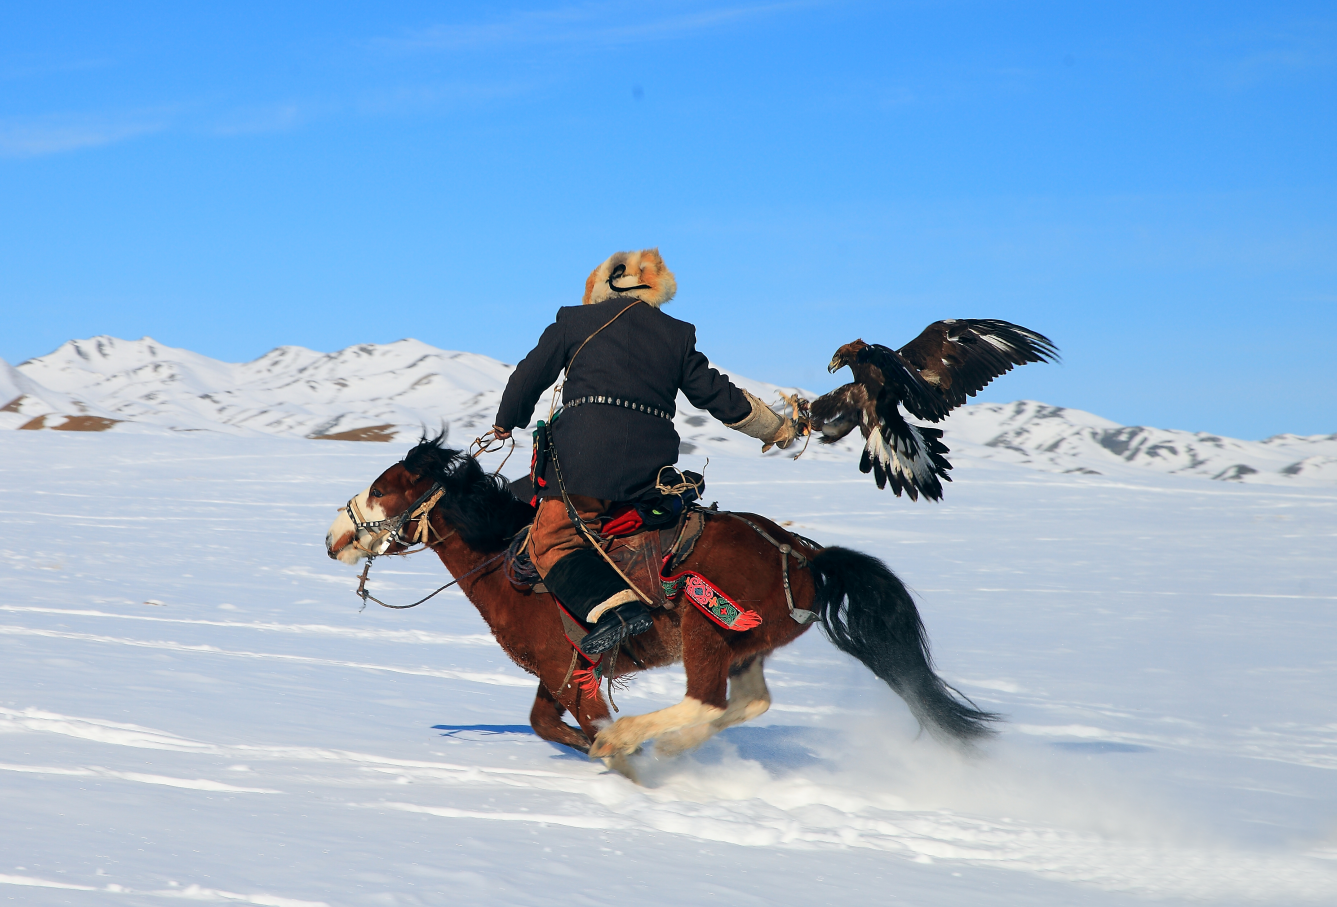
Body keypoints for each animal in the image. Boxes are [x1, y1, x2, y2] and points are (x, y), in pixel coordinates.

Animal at [323, 436, 994, 775]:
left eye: (381, 489)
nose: (333, 535)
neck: (508, 559)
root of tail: (805, 556)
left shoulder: (574, 676)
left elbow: (589, 726)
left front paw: (620, 754)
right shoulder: (559, 672)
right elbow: (544, 724)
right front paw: (610, 752)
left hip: (705, 631)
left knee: (706, 700)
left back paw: (645, 740)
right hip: (744, 645)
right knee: (748, 702)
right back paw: (672, 746)